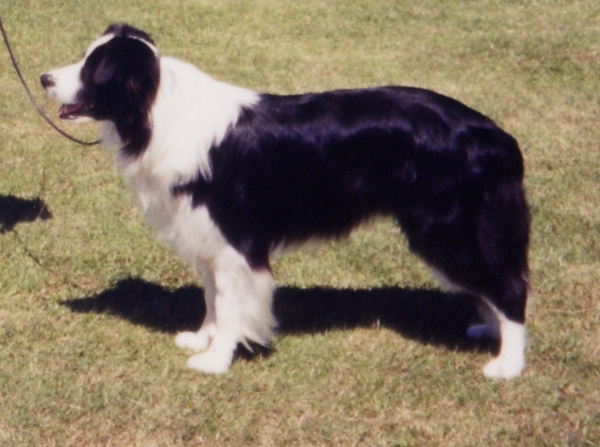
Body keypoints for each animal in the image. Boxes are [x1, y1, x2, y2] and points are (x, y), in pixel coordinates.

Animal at [41, 24, 528, 380]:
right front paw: (203, 339)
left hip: (447, 228)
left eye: (94, 69)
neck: (156, 113)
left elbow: (232, 304)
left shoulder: (236, 243)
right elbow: (213, 298)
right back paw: (488, 329)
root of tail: (496, 136)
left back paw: (508, 363)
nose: (45, 78)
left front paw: (216, 361)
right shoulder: (208, 237)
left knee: (511, 286)